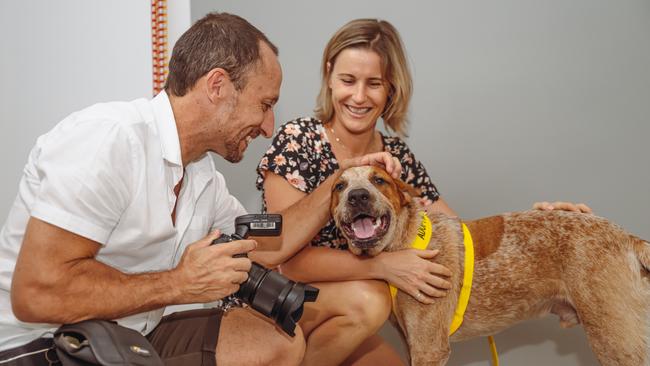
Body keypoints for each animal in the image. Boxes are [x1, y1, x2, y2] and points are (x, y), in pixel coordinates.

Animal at [332, 167, 644, 366]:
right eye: (339, 186)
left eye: (379, 180)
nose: (357, 195)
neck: (405, 241)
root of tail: (628, 237)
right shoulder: (414, 345)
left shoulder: (429, 349)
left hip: (616, 341)